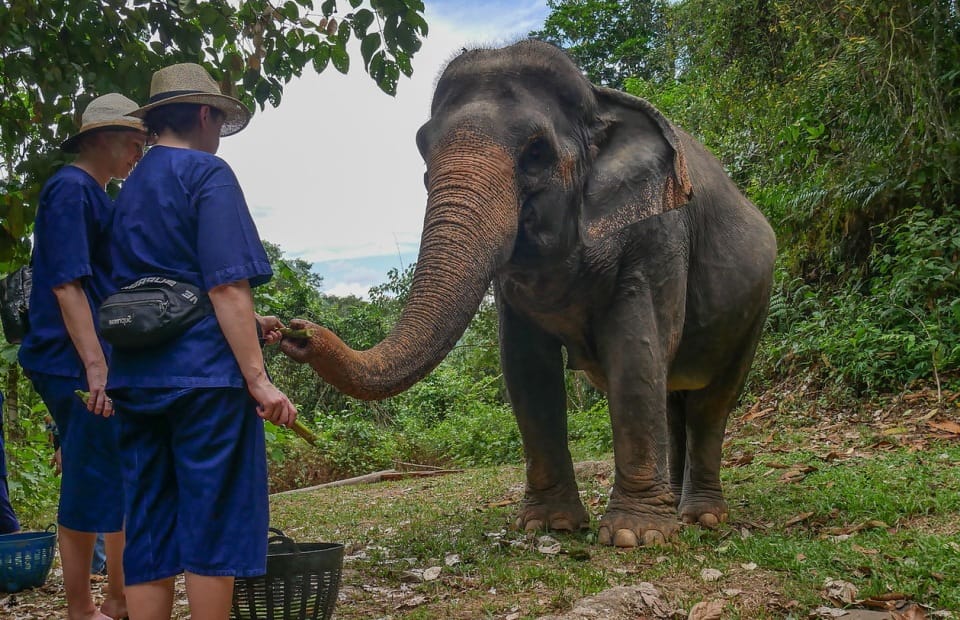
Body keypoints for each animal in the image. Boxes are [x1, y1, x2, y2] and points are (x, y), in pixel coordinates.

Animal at [281, 39, 777, 547]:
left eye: (536, 153)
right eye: (422, 150)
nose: (295, 330)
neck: (600, 103)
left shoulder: (659, 232)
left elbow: (637, 351)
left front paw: (631, 535)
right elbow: (525, 365)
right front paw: (548, 524)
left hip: (756, 306)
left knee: (712, 401)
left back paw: (703, 517)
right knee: (675, 397)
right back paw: (677, 508)